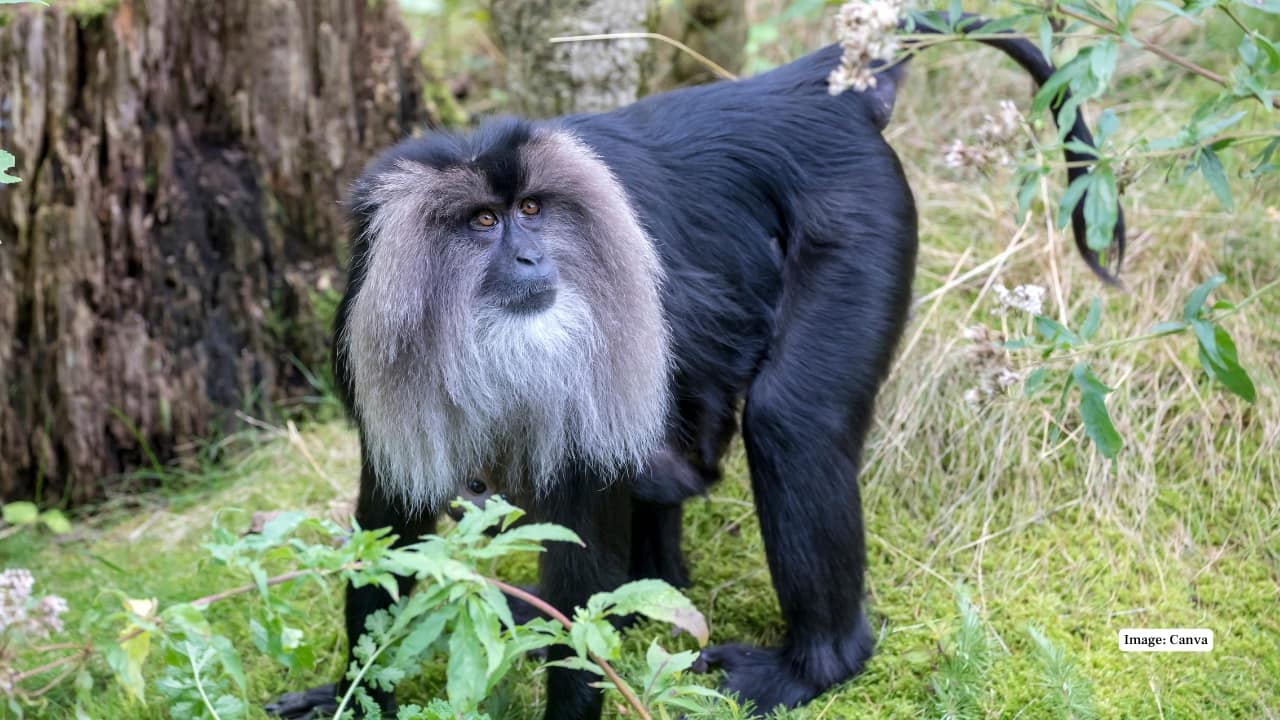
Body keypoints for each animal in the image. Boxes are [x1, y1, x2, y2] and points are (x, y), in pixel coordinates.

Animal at [267, 15, 1124, 720]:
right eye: (483, 221)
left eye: (532, 211)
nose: (532, 259)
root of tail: (797, 87)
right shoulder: (371, 343)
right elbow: (390, 522)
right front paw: (350, 693)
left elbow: (581, 541)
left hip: (858, 223)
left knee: (791, 423)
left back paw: (815, 665)